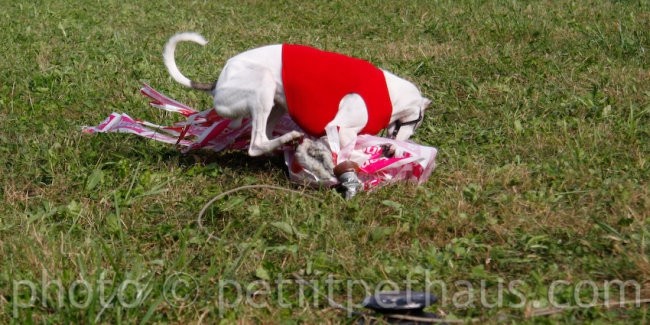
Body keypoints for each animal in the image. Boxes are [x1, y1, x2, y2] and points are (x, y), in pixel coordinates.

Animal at [162, 32, 428, 156]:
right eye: (418, 121)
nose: (405, 142)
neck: (391, 93)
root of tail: (218, 82)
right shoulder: (339, 128)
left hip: (277, 104)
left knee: (263, 137)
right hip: (264, 85)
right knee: (256, 144)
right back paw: (289, 138)